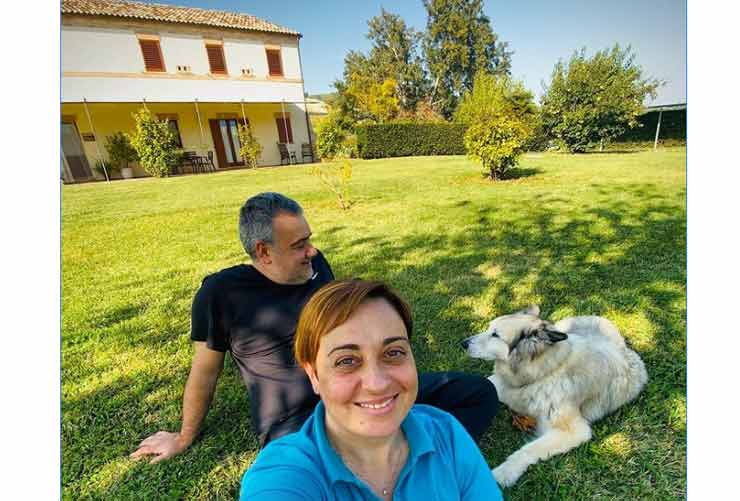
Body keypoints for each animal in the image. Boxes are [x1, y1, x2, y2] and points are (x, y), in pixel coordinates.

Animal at [462, 304, 648, 484]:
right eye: (488, 328)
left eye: (495, 335)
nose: (463, 343)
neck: (543, 372)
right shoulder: (498, 385)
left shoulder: (574, 431)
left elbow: (527, 450)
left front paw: (504, 472)